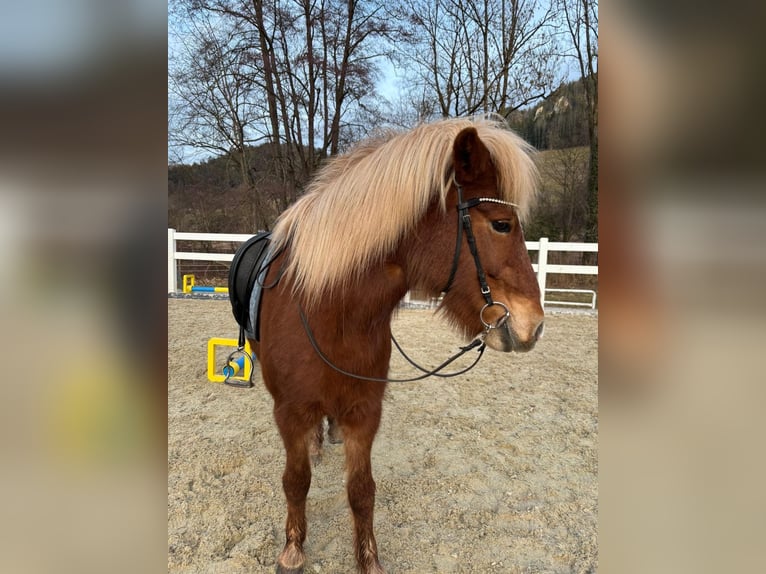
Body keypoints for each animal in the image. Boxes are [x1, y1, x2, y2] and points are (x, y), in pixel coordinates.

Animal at [247, 116, 544, 573]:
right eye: (501, 224)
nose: (536, 325)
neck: (331, 311)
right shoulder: (290, 412)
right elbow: (296, 481)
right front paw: (293, 550)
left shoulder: (365, 411)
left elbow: (362, 491)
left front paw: (368, 559)